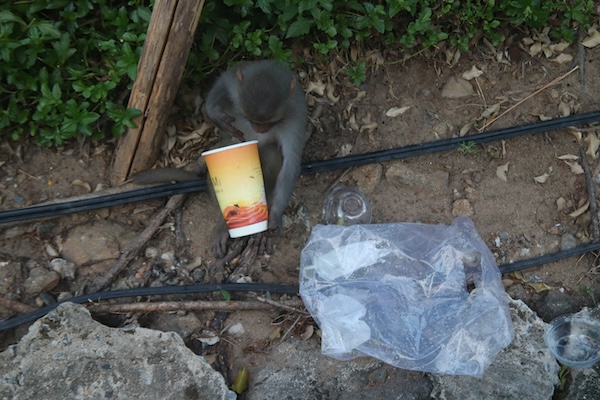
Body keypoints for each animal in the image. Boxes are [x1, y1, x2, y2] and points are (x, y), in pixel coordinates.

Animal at [133, 59, 308, 260]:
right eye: (252, 119)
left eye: (268, 122)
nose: (259, 128)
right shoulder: (238, 86)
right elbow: (224, 80)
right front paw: (214, 112)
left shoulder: (295, 118)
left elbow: (290, 165)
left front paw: (274, 217)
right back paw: (223, 226)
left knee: (272, 154)